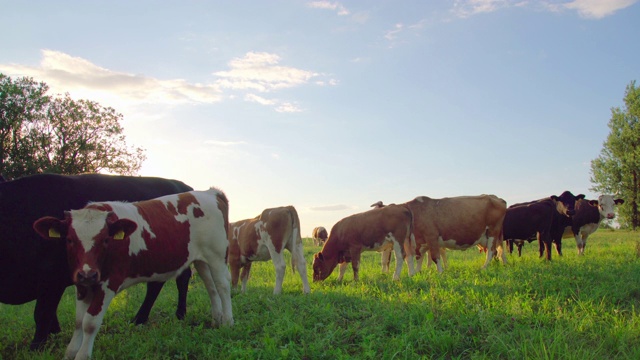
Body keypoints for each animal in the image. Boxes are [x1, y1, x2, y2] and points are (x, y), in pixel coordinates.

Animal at [0, 173, 192, 350]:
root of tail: (182, 185)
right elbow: (49, 314)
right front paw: (55, 334)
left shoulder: (53, 278)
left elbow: (41, 313)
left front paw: (36, 347)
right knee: (159, 283)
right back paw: (140, 319)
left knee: (179, 280)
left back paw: (178, 315)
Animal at [32, 188, 232, 360]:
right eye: (69, 240)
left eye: (105, 240)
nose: (88, 274)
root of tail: (210, 193)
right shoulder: (81, 284)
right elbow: (78, 321)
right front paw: (71, 352)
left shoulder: (108, 283)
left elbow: (89, 323)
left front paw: (82, 355)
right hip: (201, 259)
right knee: (211, 287)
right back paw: (216, 319)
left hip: (217, 256)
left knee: (222, 286)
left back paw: (227, 323)